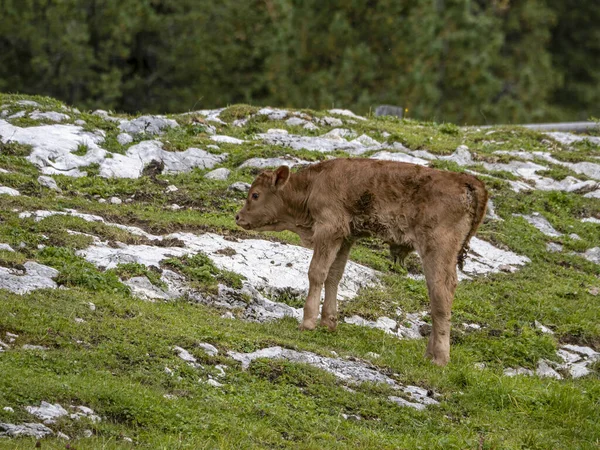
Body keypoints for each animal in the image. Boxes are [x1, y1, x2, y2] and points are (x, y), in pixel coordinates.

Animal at [236, 158, 488, 366]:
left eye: (255, 195)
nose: (238, 217)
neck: (313, 185)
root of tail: (466, 180)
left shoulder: (328, 228)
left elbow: (317, 272)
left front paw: (307, 323)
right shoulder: (345, 237)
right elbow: (334, 275)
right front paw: (329, 323)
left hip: (437, 250)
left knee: (441, 294)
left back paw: (439, 359)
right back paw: (428, 354)